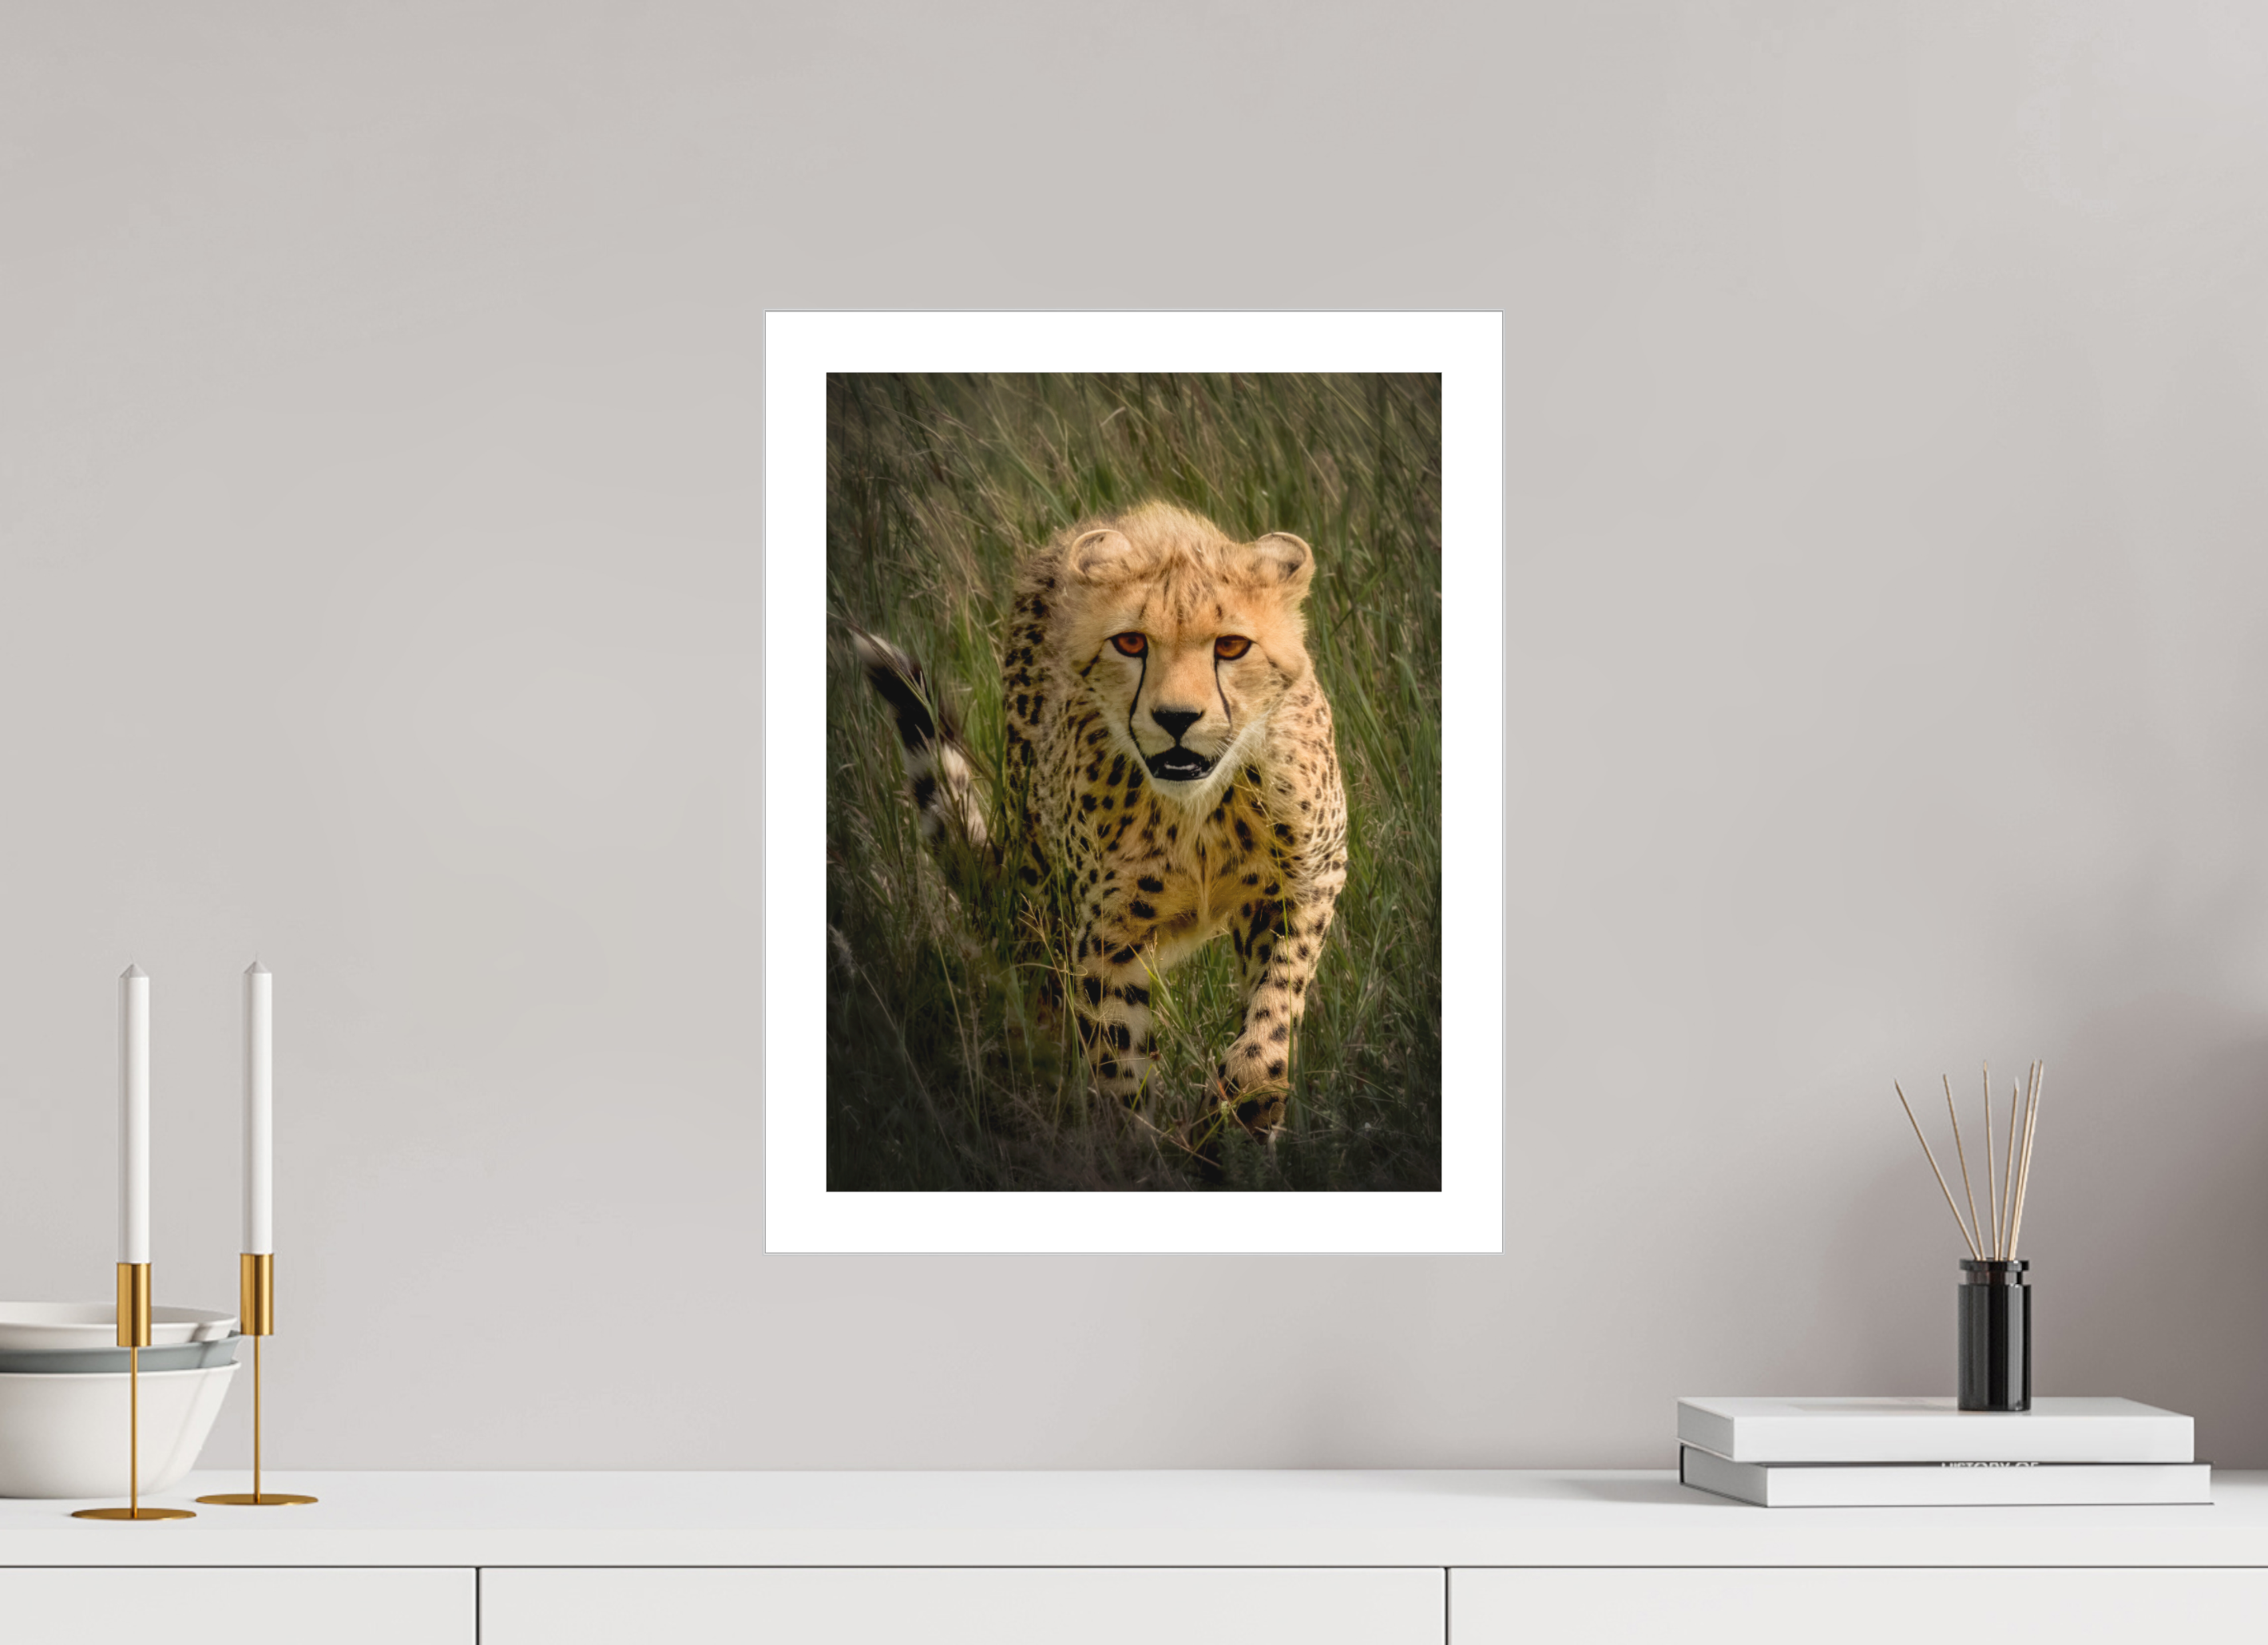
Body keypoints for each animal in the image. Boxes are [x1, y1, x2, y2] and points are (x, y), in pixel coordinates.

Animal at [853, 501, 1348, 1134]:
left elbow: (1275, 1005)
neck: (1198, 808)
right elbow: (1118, 1058)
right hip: (1042, 893)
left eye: (1233, 646)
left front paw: (1244, 1102)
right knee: (1044, 998)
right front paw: (1134, 1145)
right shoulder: (1108, 934)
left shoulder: (1307, 881)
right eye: (1131, 643)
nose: (1177, 718)